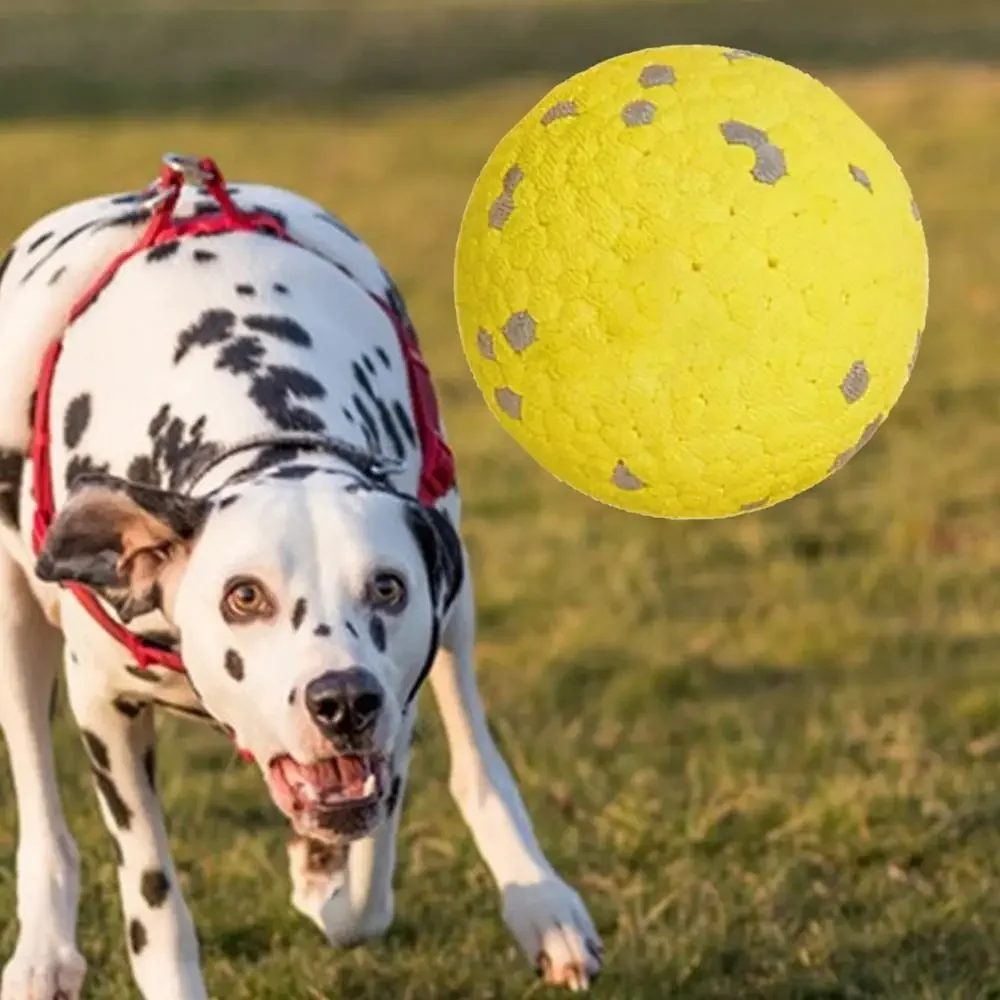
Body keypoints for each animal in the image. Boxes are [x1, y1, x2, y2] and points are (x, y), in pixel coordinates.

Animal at [0, 166, 600, 1000]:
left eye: (387, 588)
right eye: (243, 595)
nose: (342, 702)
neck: (262, 423)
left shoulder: (402, 691)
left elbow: (369, 885)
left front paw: (323, 874)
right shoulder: (104, 709)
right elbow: (156, 908)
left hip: (457, 623)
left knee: (476, 757)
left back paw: (539, 899)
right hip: (13, 631)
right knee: (39, 802)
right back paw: (44, 952)